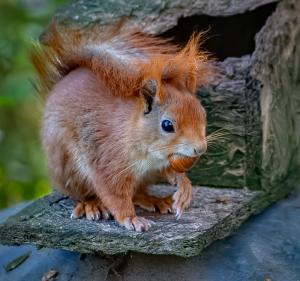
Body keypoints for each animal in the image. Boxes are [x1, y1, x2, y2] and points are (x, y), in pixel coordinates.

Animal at [31, 23, 212, 230]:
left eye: (202, 113)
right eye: (167, 125)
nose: (200, 148)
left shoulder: (158, 164)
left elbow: (171, 172)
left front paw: (184, 187)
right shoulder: (108, 161)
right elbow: (115, 195)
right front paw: (130, 218)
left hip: (144, 177)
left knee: (137, 193)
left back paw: (154, 200)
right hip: (69, 166)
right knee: (84, 193)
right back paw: (92, 204)